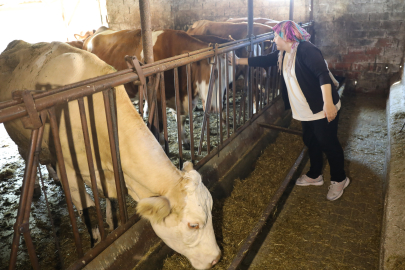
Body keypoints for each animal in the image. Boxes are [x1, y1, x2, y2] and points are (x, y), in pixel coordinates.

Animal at [0, 40, 221, 270]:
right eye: (193, 225)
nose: (216, 258)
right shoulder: (69, 172)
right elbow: (88, 211)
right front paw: (95, 242)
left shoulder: (111, 172)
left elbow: (112, 205)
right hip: (23, 140)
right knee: (28, 156)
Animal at [81, 27, 234, 148]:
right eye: (214, 73)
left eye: (229, 79)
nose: (216, 108)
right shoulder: (159, 98)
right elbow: (159, 125)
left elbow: (182, 120)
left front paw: (184, 141)